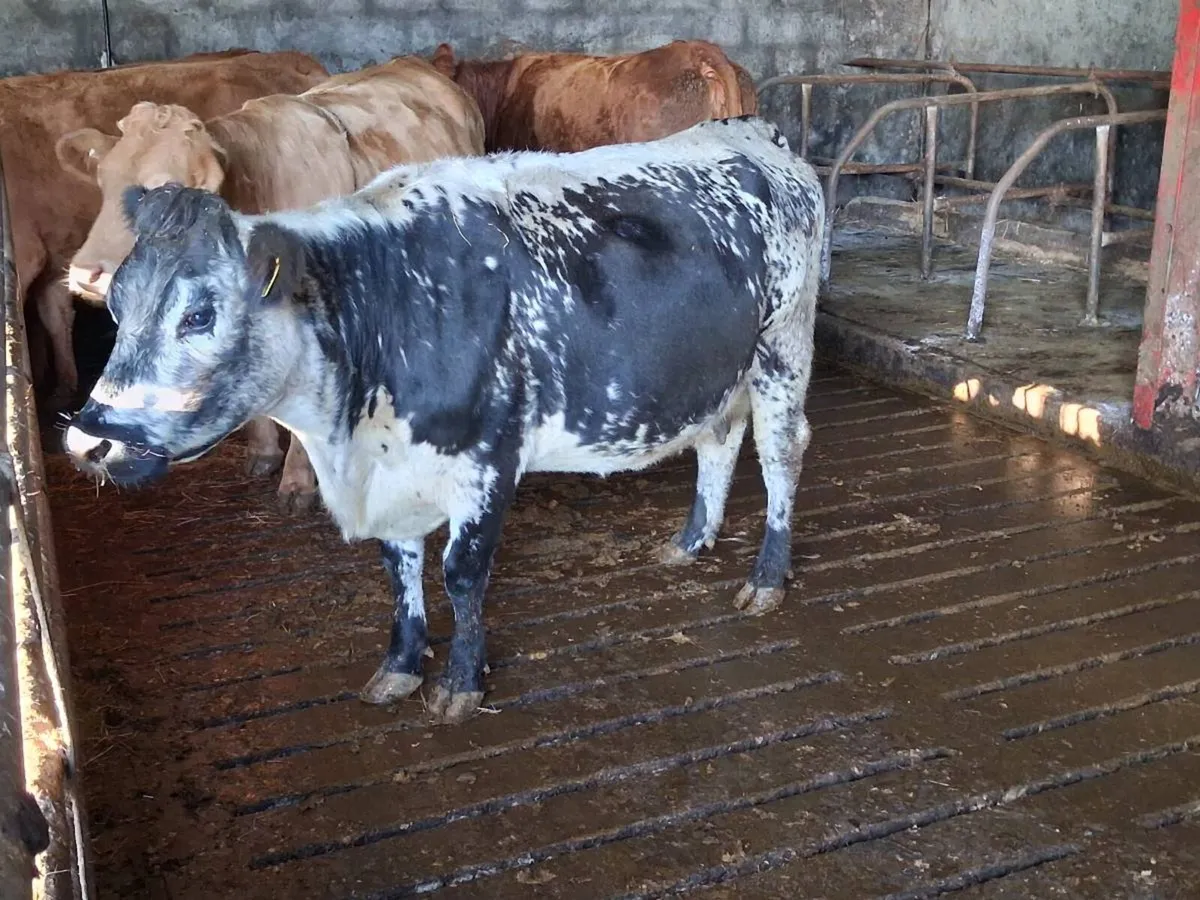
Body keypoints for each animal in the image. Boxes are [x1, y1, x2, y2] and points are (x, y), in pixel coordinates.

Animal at [62, 115, 824, 725]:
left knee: (781, 456)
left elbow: (461, 573)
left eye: (198, 315)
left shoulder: (489, 460)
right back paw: (691, 541)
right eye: (117, 307)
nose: (87, 438)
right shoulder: (391, 472)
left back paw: (766, 578)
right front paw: (401, 666)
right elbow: (399, 570)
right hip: (717, 374)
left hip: (783, 350)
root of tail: (751, 132)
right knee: (718, 443)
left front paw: (461, 682)